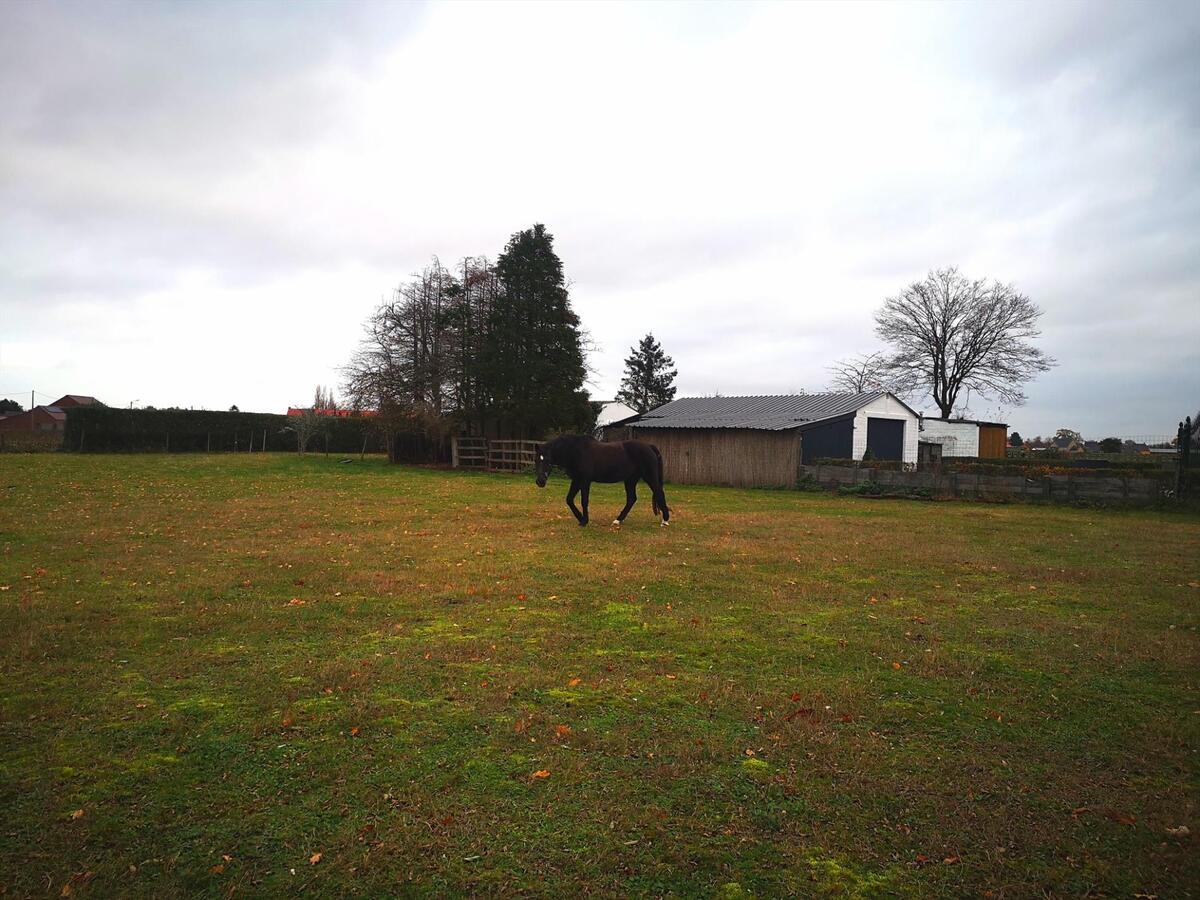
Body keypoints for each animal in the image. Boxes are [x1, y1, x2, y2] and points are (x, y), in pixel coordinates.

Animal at [532, 436, 667, 528]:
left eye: (548, 460)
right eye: (536, 460)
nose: (540, 481)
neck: (576, 452)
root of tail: (649, 446)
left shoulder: (585, 481)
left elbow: (584, 501)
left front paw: (584, 521)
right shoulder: (576, 480)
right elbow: (569, 499)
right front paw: (580, 518)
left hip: (649, 477)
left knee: (659, 493)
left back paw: (665, 521)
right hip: (630, 480)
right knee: (631, 499)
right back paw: (618, 520)